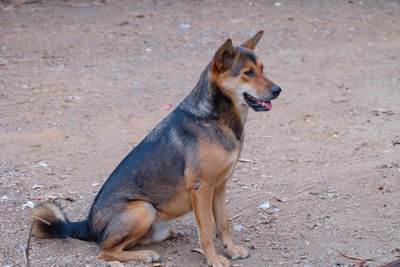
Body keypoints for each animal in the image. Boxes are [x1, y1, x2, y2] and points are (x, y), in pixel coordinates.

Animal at [31, 31, 282, 267]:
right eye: (248, 73)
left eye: (262, 69)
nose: (278, 90)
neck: (215, 117)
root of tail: (88, 225)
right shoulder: (202, 188)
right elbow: (207, 231)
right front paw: (213, 258)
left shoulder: (219, 187)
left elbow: (223, 224)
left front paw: (231, 249)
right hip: (143, 209)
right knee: (105, 250)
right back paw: (146, 255)